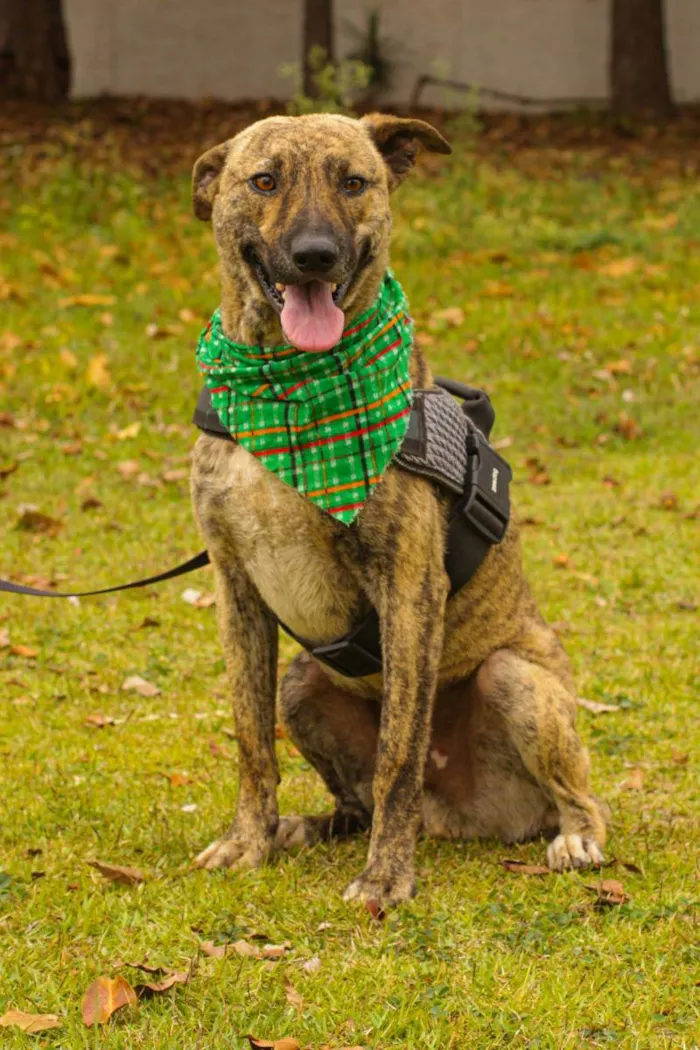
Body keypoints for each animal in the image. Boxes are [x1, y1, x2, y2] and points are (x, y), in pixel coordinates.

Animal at [189, 112, 608, 902]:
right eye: (265, 180)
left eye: (355, 182)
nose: (314, 256)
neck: (290, 393)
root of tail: (457, 820)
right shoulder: (237, 589)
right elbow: (252, 741)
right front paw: (249, 841)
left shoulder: (410, 589)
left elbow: (398, 756)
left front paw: (385, 878)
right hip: (302, 684)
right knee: (348, 793)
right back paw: (308, 827)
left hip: (516, 680)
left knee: (579, 797)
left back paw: (574, 838)